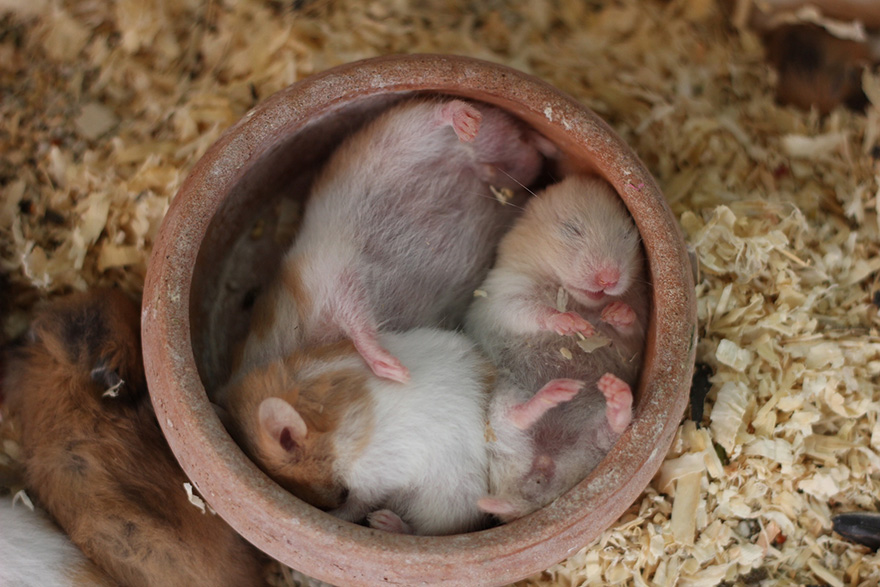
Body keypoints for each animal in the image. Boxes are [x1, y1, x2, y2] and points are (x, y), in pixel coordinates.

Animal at [225, 327, 493, 536]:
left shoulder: (374, 477)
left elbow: (355, 506)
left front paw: (337, 515)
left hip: (449, 500)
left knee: (427, 531)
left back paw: (383, 521)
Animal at [231, 97, 553, 389]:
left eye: (250, 298)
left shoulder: (332, 278)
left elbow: (361, 328)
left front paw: (397, 372)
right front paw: (397, 370)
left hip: (410, 129)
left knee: (447, 118)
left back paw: (465, 122)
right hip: (494, 150)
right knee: (528, 162)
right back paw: (491, 167)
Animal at [465, 174, 649, 521]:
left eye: (627, 233)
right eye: (571, 228)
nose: (609, 278)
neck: (579, 299)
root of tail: (543, 468)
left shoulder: (634, 339)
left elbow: (629, 328)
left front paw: (614, 313)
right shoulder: (506, 293)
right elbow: (534, 311)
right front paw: (572, 324)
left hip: (591, 446)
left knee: (609, 431)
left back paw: (614, 394)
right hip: (503, 400)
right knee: (516, 417)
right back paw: (556, 392)